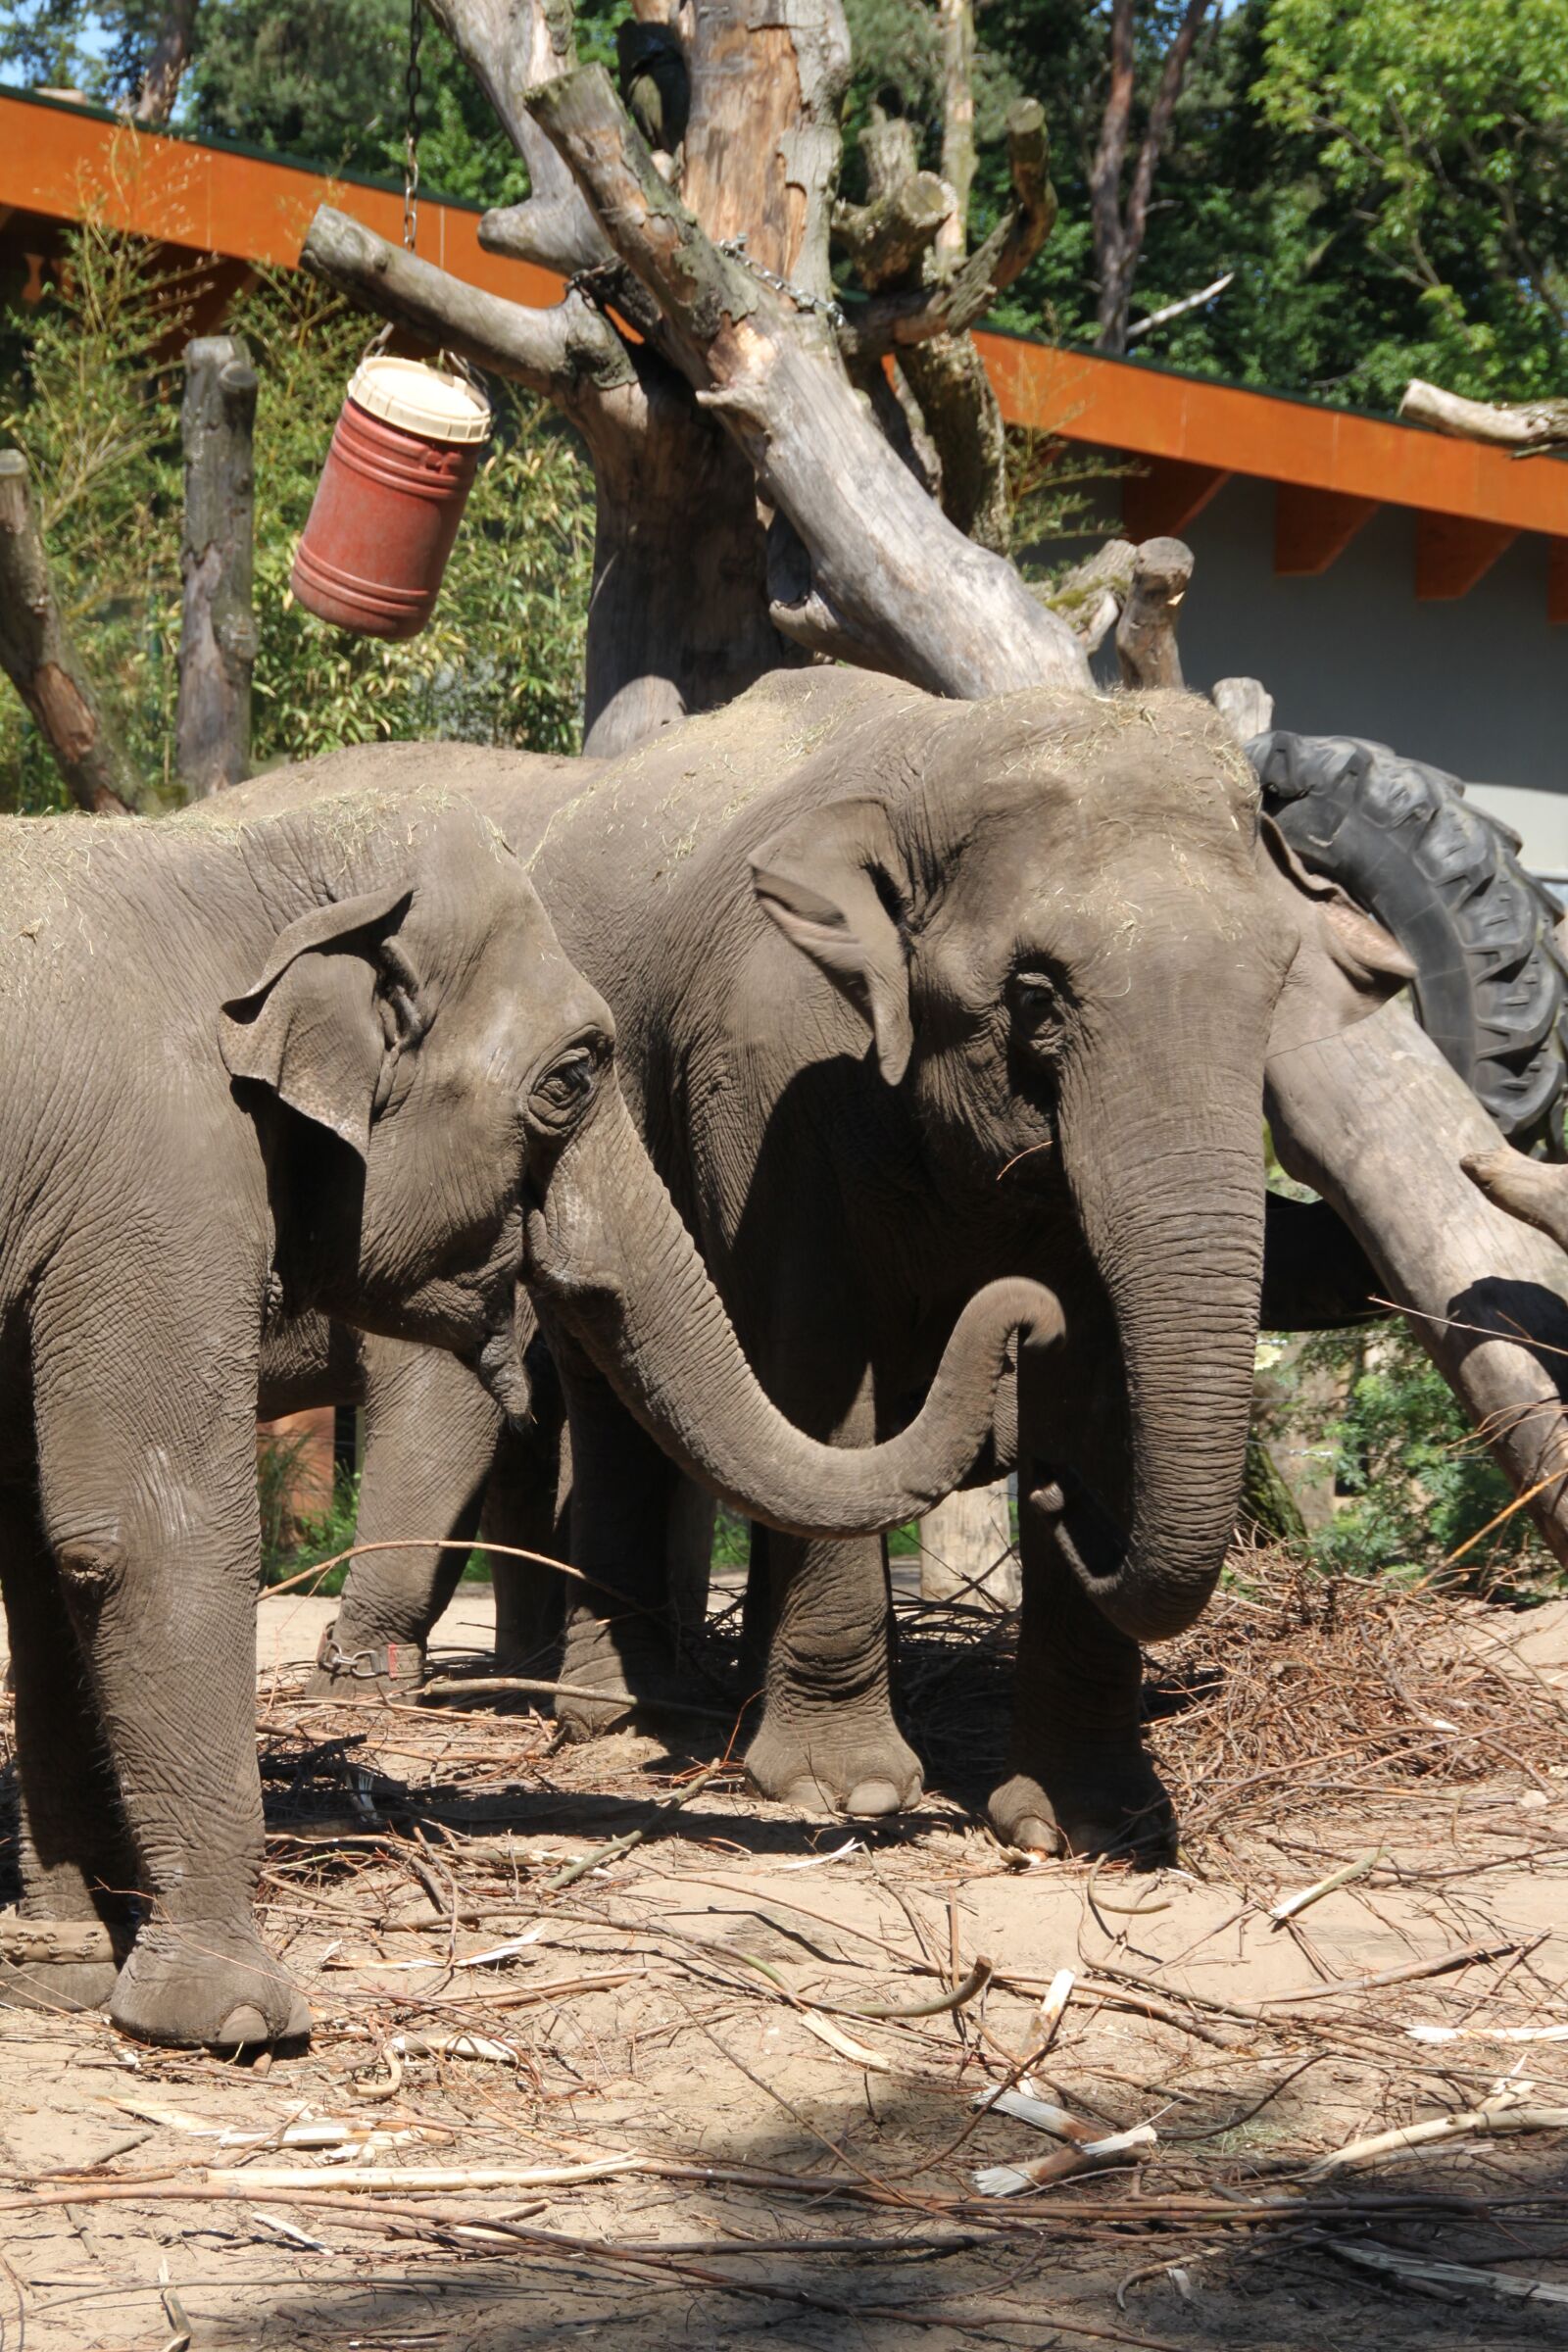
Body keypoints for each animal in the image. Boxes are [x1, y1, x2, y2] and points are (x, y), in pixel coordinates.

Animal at [0, 785, 1062, 2041]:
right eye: (571, 1077)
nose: (1034, 1316)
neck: (234, 865)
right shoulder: (160, 1178)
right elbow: (141, 1532)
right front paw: (233, 2018)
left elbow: (40, 1544)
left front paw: (66, 1970)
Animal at [222, 672, 1410, 1862]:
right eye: (1036, 998)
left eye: (1277, 991)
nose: (1058, 1499)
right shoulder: (771, 1068)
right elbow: (817, 1351)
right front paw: (848, 1793)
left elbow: (1100, 1376)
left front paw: (1085, 1825)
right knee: (615, 1401)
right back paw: (633, 1716)